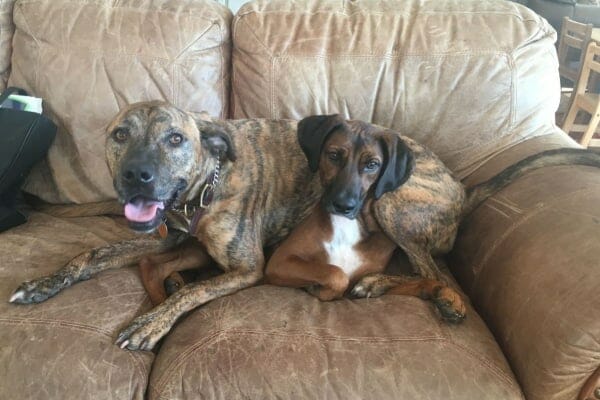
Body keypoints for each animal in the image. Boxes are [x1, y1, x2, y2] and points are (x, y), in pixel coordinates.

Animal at [264, 116, 466, 322]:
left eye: (372, 164)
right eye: (334, 155)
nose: (343, 206)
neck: (351, 224)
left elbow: (340, 276)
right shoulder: (281, 261)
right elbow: (336, 273)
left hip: (387, 203)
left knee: (433, 274)